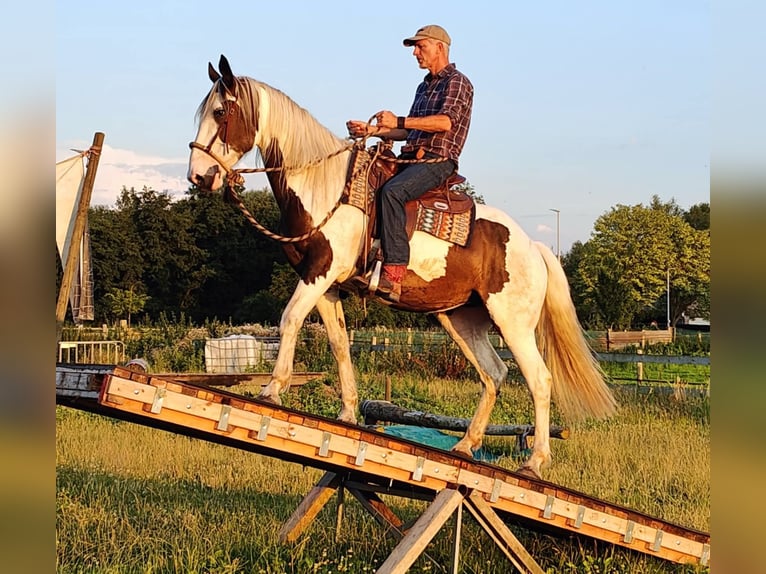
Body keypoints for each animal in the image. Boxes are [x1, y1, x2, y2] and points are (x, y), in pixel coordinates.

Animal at [187, 55, 617, 479]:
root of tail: (534, 247)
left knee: (539, 379)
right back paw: (466, 445)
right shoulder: (327, 285)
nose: (198, 176)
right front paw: (347, 412)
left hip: (512, 321)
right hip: (460, 318)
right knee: (494, 373)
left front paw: (273, 389)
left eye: (221, 111)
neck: (326, 187)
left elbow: (289, 319)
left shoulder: (318, 273)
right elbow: (339, 343)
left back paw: (534, 462)